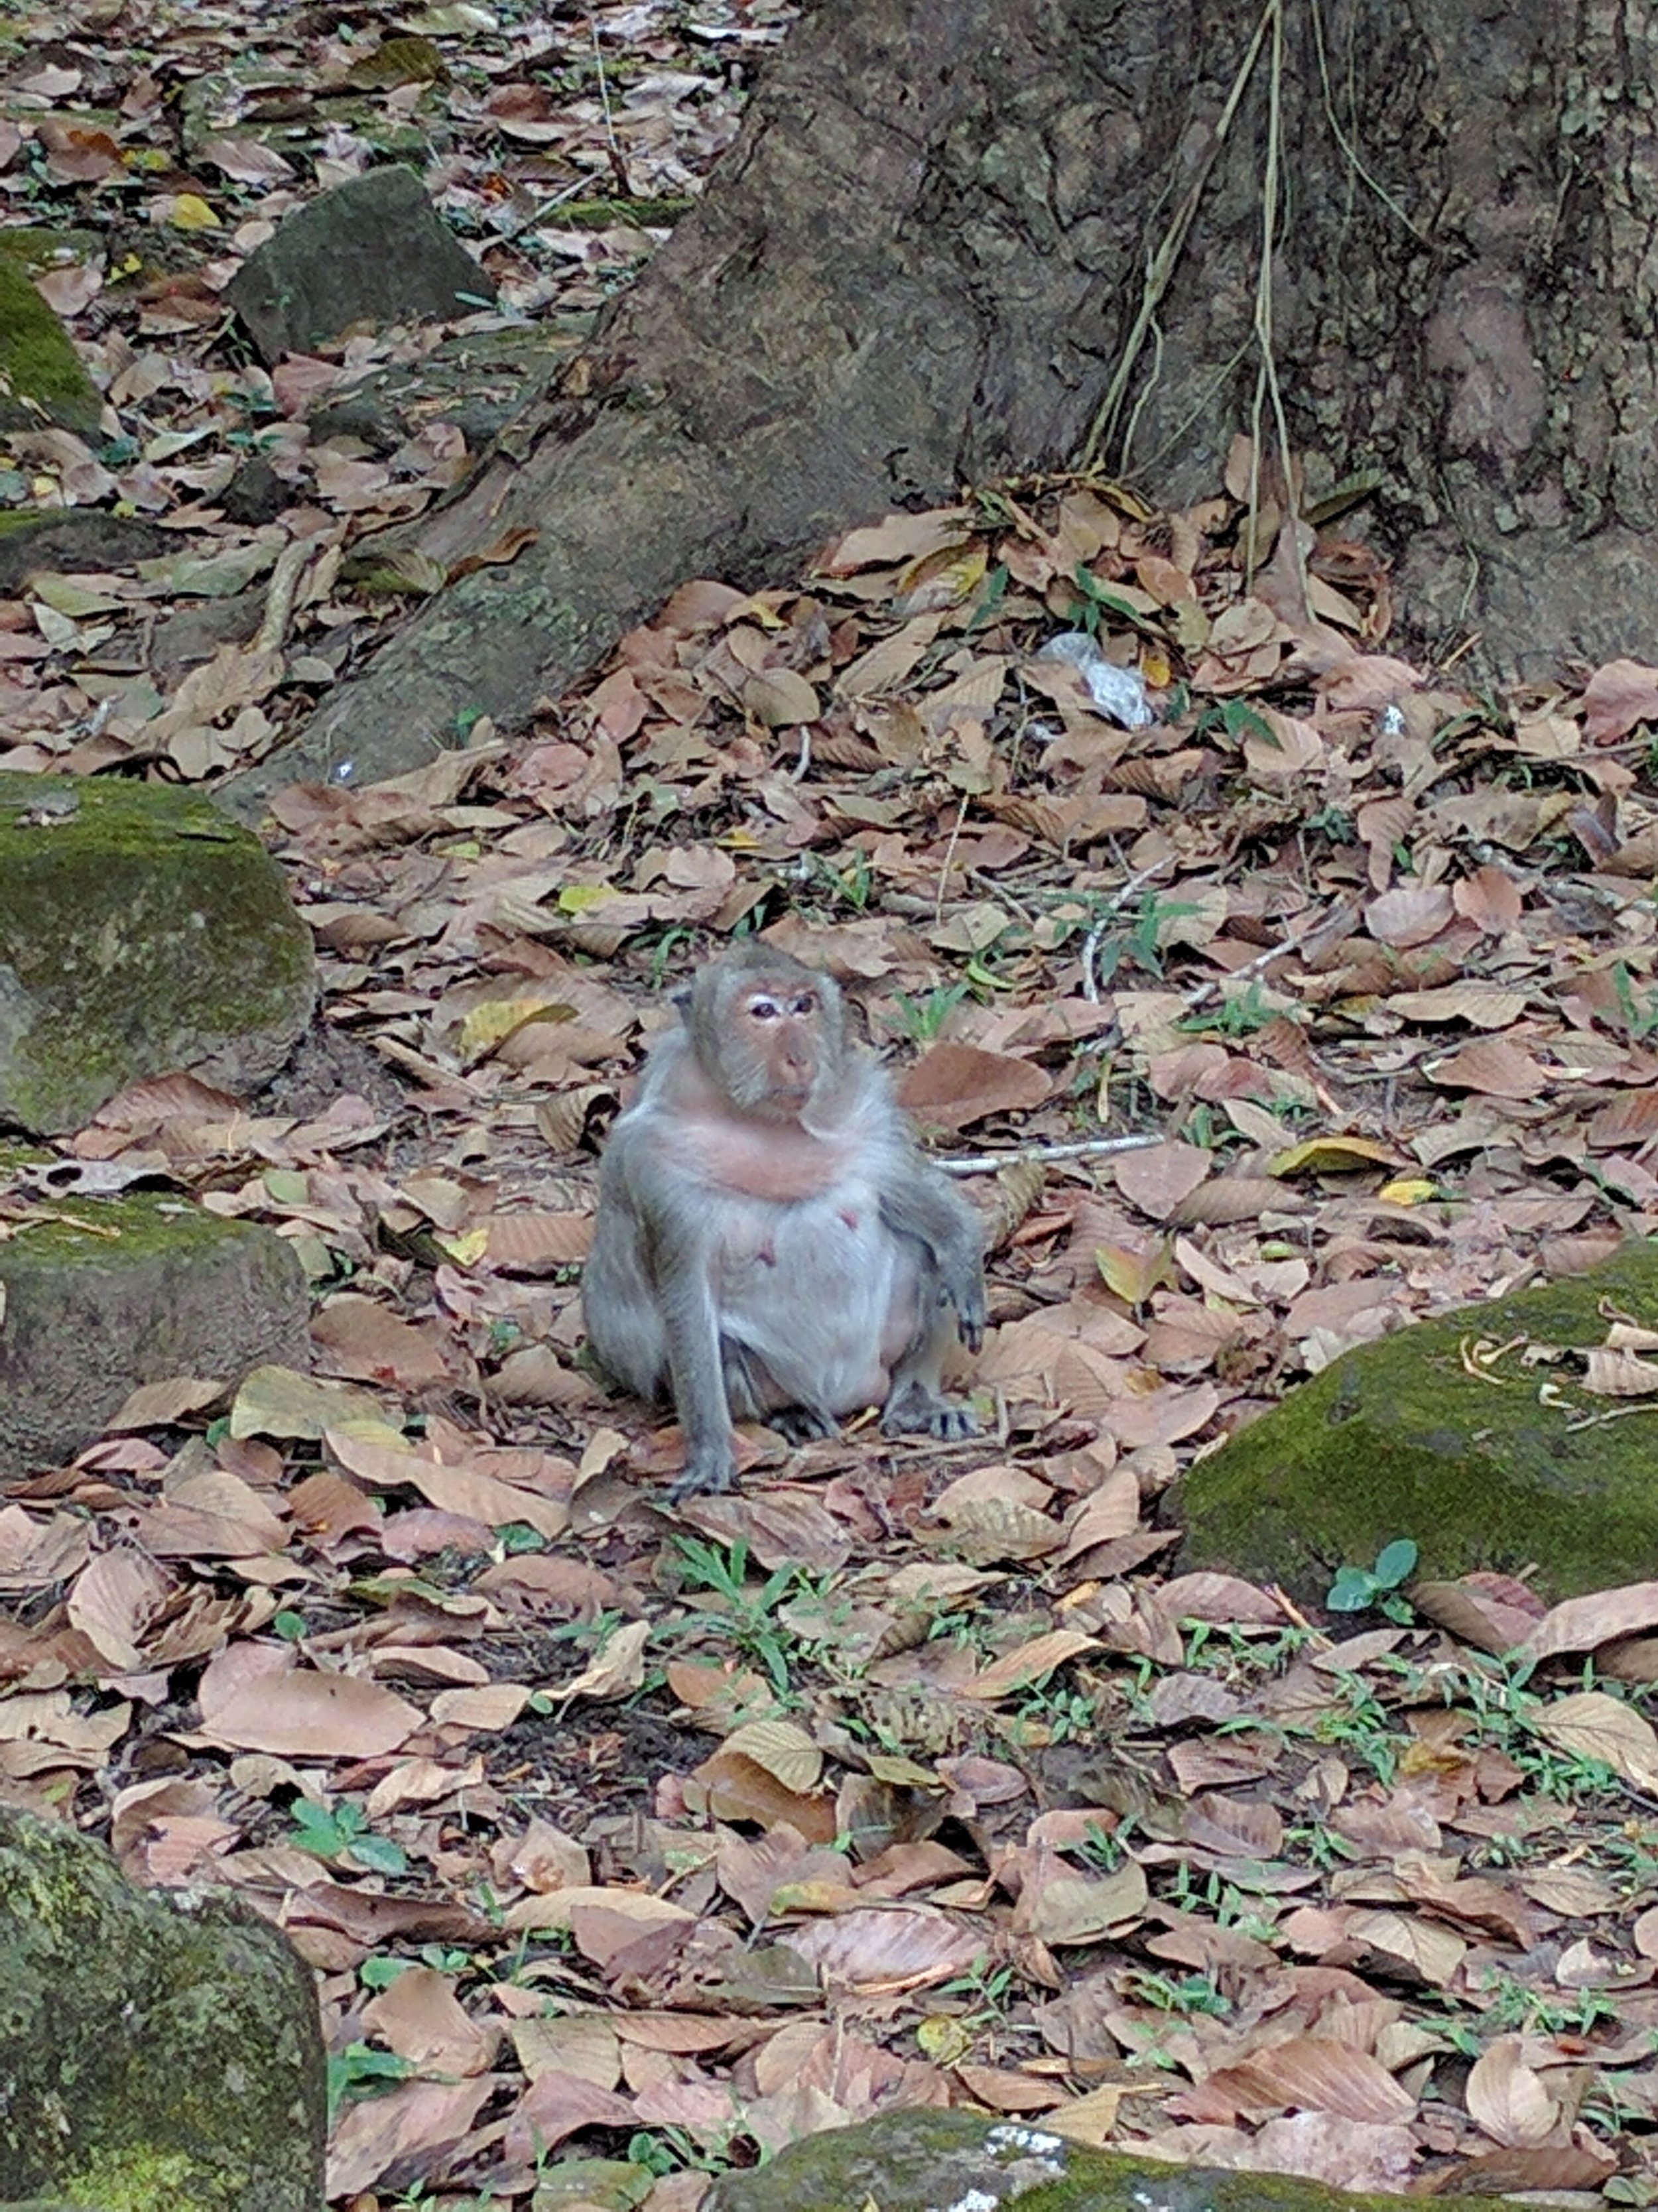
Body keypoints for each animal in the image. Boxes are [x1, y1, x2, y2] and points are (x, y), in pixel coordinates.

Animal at [583, 942, 986, 1500]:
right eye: (763, 1012)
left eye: (803, 1006)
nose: (799, 1058)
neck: (765, 1123)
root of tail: (848, 1394)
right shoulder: (657, 1164)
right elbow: (687, 1302)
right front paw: (709, 1451)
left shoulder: (869, 1115)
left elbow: (914, 1199)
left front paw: (964, 1256)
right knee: (722, 1345)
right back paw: (790, 1413)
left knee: (923, 1253)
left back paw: (915, 1401)